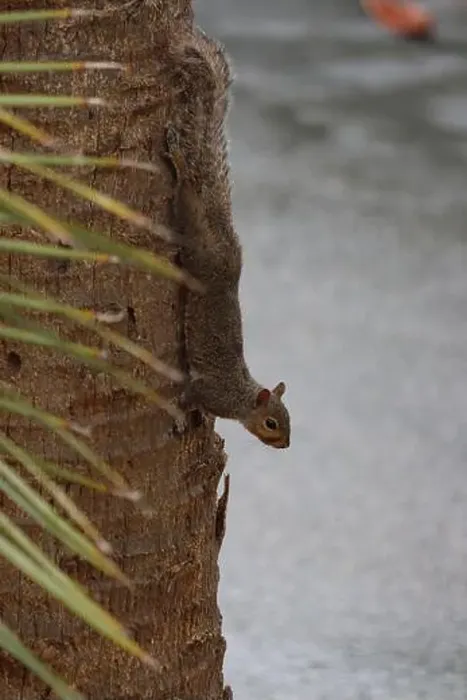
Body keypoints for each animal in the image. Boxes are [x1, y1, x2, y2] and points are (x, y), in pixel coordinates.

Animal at [163, 31, 290, 449]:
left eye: (289, 420)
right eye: (272, 423)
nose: (285, 445)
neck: (240, 397)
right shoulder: (209, 391)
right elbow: (189, 396)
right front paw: (183, 418)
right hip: (190, 227)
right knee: (184, 185)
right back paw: (177, 157)